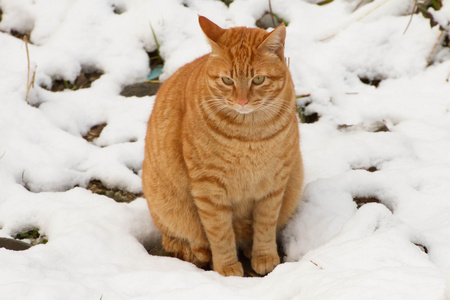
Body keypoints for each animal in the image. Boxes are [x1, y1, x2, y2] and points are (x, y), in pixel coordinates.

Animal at [142, 15, 302, 276]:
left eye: (258, 79)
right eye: (227, 80)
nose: (242, 101)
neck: (249, 134)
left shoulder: (274, 183)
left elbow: (266, 225)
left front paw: (264, 255)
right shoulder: (209, 188)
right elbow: (220, 233)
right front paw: (227, 267)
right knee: (179, 241)